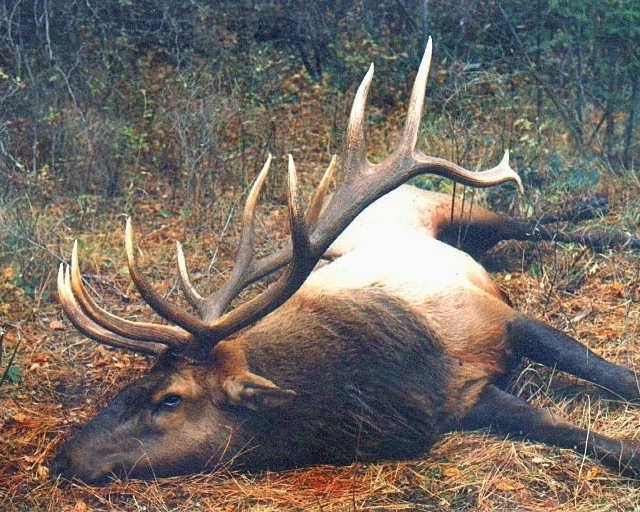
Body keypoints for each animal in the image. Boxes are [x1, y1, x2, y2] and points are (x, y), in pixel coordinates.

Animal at [50, 39, 640, 485]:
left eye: (170, 399)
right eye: (135, 383)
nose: (63, 456)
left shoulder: (500, 318)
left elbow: (610, 372)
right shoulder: (465, 396)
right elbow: (560, 428)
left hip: (446, 207)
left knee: (526, 220)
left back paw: (607, 215)